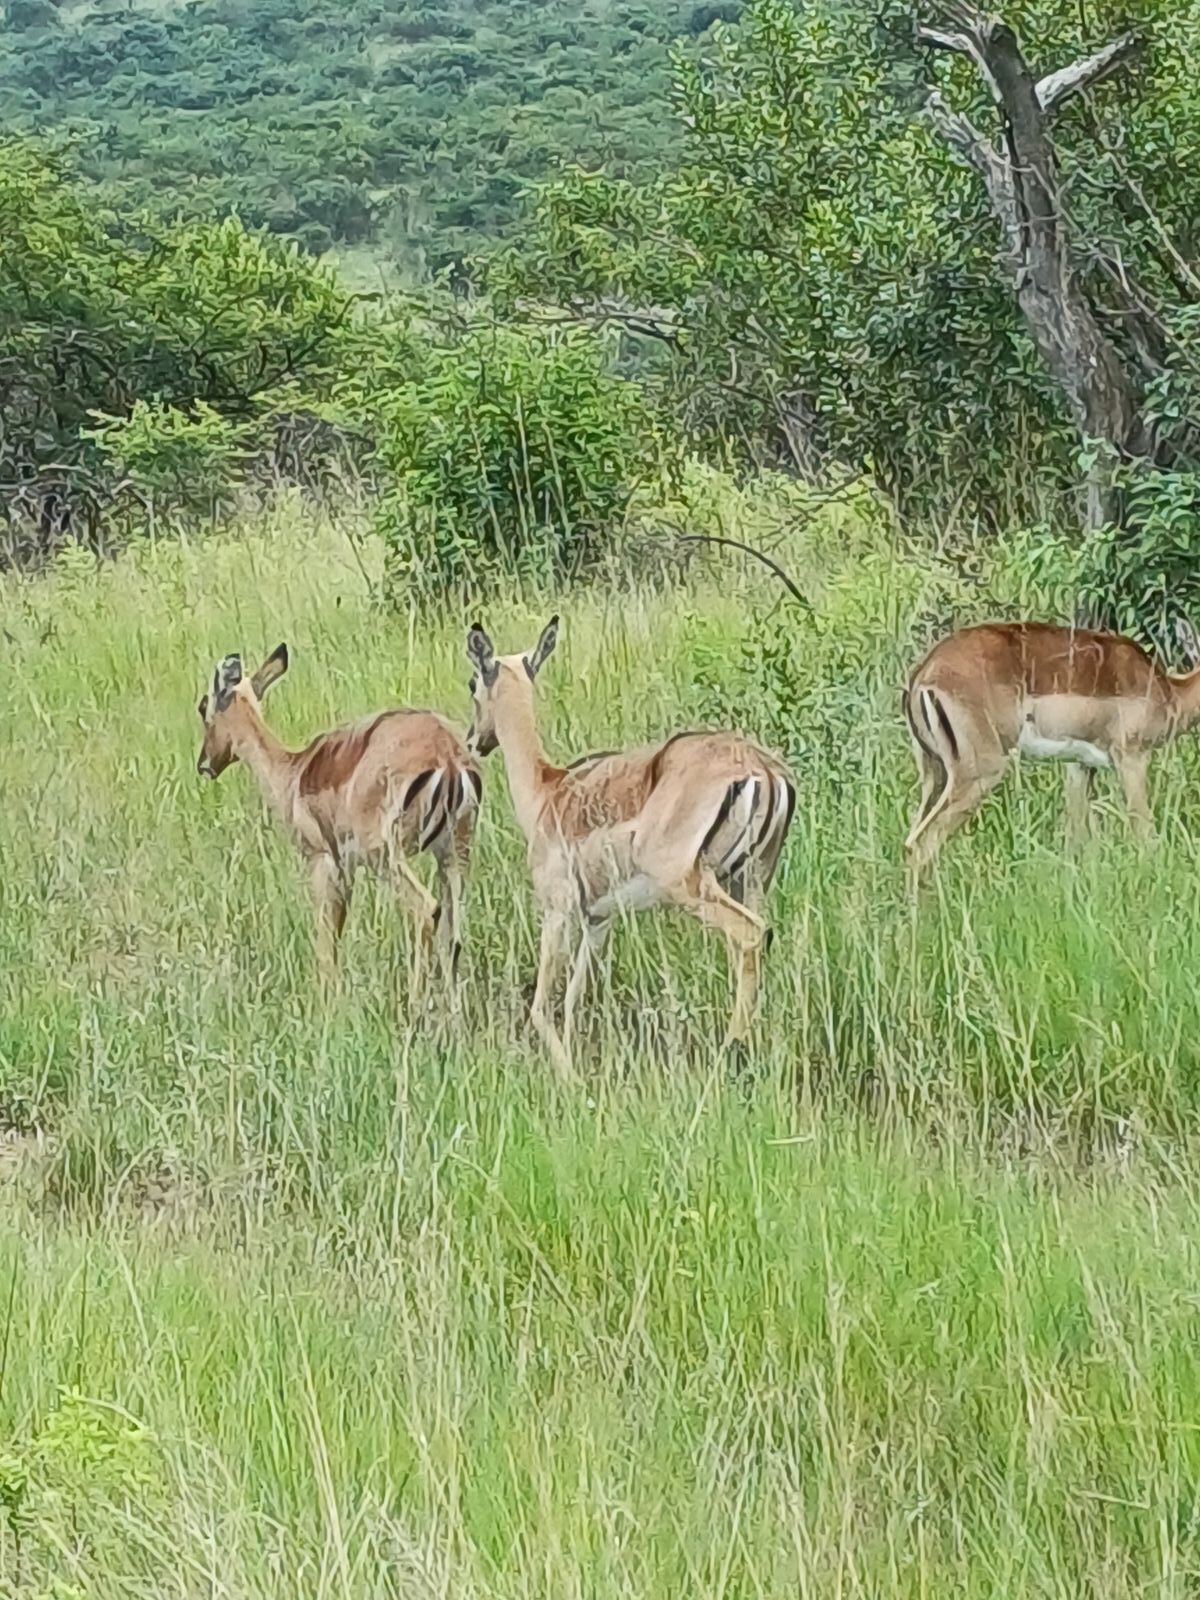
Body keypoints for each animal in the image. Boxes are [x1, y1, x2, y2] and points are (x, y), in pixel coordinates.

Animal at [196, 645, 480, 988]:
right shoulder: (347, 870)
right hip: (454, 853)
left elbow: (325, 942)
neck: (292, 773)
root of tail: (448, 755)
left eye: (203, 706)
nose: (204, 764)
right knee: (453, 933)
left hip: (385, 855)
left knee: (426, 910)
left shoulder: (323, 861)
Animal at [465, 617, 796, 1074]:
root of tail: (762, 769)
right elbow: (572, 999)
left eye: (471, 682)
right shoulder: (599, 920)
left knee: (750, 935)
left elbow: (541, 1006)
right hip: (750, 879)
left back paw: (733, 1049)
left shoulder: (557, 910)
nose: (473, 741)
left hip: (695, 887)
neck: (548, 793)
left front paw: (569, 1077)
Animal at [903, 620, 1200, 870]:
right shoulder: (1131, 757)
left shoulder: (1079, 765)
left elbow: (1075, 839)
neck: (1168, 692)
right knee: (923, 843)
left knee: (911, 840)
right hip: (978, 772)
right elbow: (1145, 831)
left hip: (934, 774)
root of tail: (924, 673)